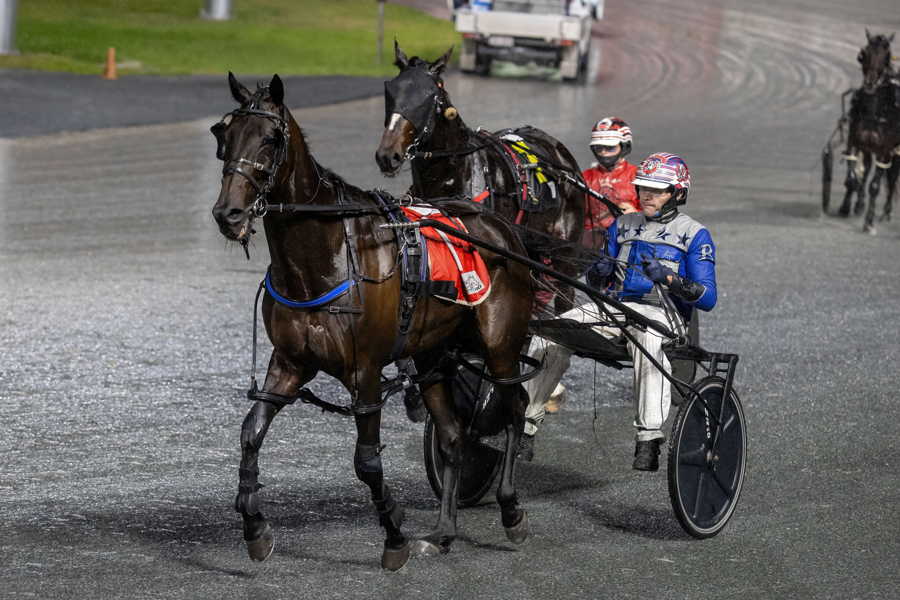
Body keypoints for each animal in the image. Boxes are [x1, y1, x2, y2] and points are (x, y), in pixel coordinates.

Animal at [211, 73, 536, 570]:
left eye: (270, 138)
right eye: (223, 136)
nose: (228, 214)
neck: (324, 257)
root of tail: (502, 227)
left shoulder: (364, 373)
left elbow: (367, 462)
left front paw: (394, 535)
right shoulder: (288, 363)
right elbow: (251, 433)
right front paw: (255, 527)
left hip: (499, 343)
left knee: (514, 407)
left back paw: (511, 510)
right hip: (431, 355)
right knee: (452, 435)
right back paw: (443, 531)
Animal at [375, 42, 586, 315]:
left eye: (427, 97)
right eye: (392, 92)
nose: (387, 155)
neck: (453, 175)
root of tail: (564, 158)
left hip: (564, 255)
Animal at [838, 30, 900, 233]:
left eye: (887, 56)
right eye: (864, 54)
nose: (871, 84)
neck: (875, 111)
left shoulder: (884, 152)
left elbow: (875, 185)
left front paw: (869, 221)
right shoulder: (855, 142)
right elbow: (853, 178)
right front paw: (846, 207)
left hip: (895, 153)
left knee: (892, 177)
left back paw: (887, 212)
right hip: (867, 148)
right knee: (865, 169)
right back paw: (859, 204)